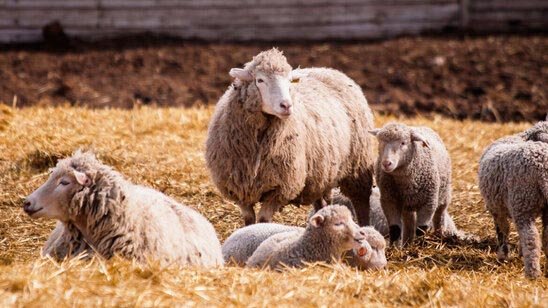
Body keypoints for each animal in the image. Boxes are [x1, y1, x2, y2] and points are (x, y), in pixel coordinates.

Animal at [206, 47, 376, 226]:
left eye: (289, 82)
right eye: (260, 80)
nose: (286, 105)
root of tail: (328, 69)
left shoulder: (280, 188)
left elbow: (264, 220)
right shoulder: (239, 188)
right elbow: (249, 220)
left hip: (358, 164)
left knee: (361, 202)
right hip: (321, 174)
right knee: (322, 202)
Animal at [478, 126, 544, 278]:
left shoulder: (497, 208)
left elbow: (503, 230)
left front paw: (503, 256)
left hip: (522, 203)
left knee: (530, 237)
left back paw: (532, 273)